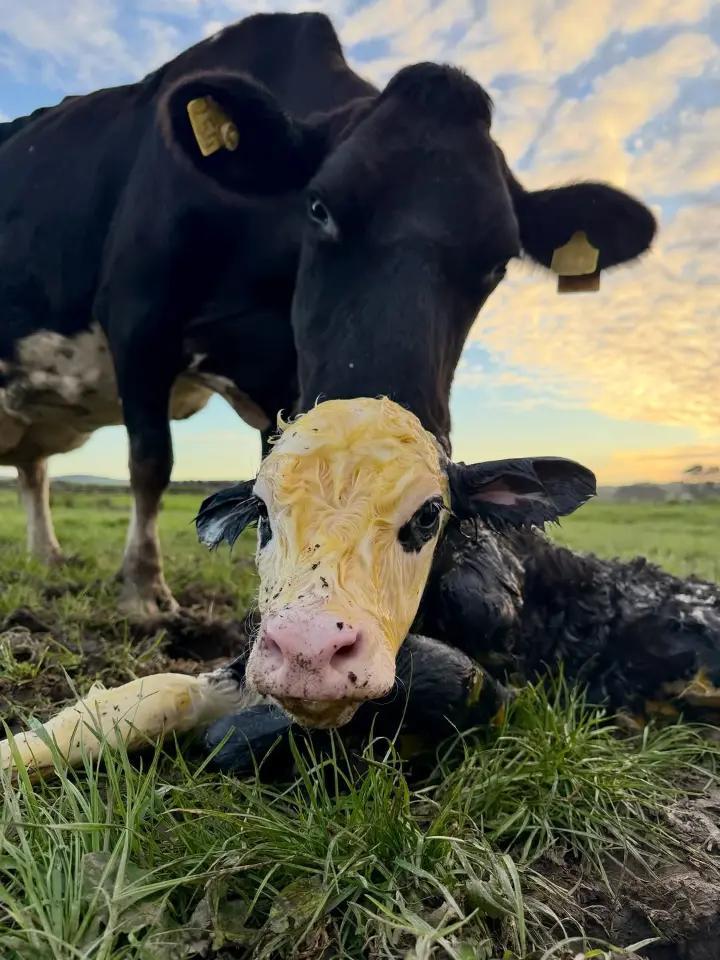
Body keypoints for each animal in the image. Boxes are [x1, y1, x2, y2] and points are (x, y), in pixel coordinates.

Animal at [0, 12, 656, 618]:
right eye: (317, 207)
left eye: (499, 262)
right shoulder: (138, 319)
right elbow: (151, 461)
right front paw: (144, 591)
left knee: (32, 469)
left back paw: (48, 555)